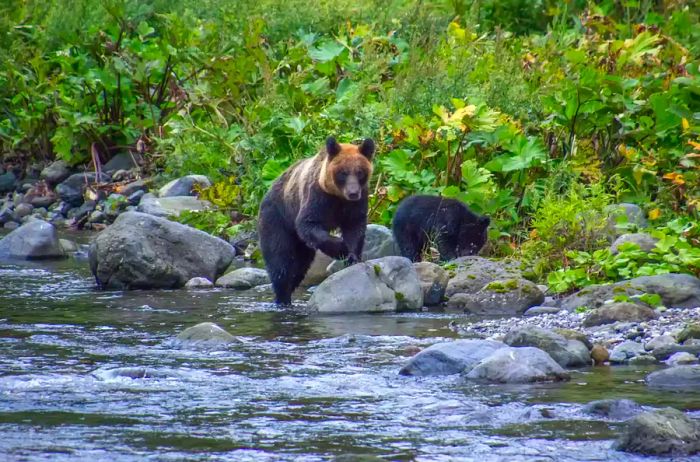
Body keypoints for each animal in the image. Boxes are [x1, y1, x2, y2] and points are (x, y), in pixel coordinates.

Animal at [258, 135, 378, 304]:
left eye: (360, 172)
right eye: (343, 172)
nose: (353, 192)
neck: (337, 196)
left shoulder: (356, 204)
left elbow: (355, 227)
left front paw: (352, 257)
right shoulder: (317, 197)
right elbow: (308, 224)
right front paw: (341, 248)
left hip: (298, 242)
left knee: (299, 267)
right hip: (277, 217)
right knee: (280, 261)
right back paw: (282, 297)